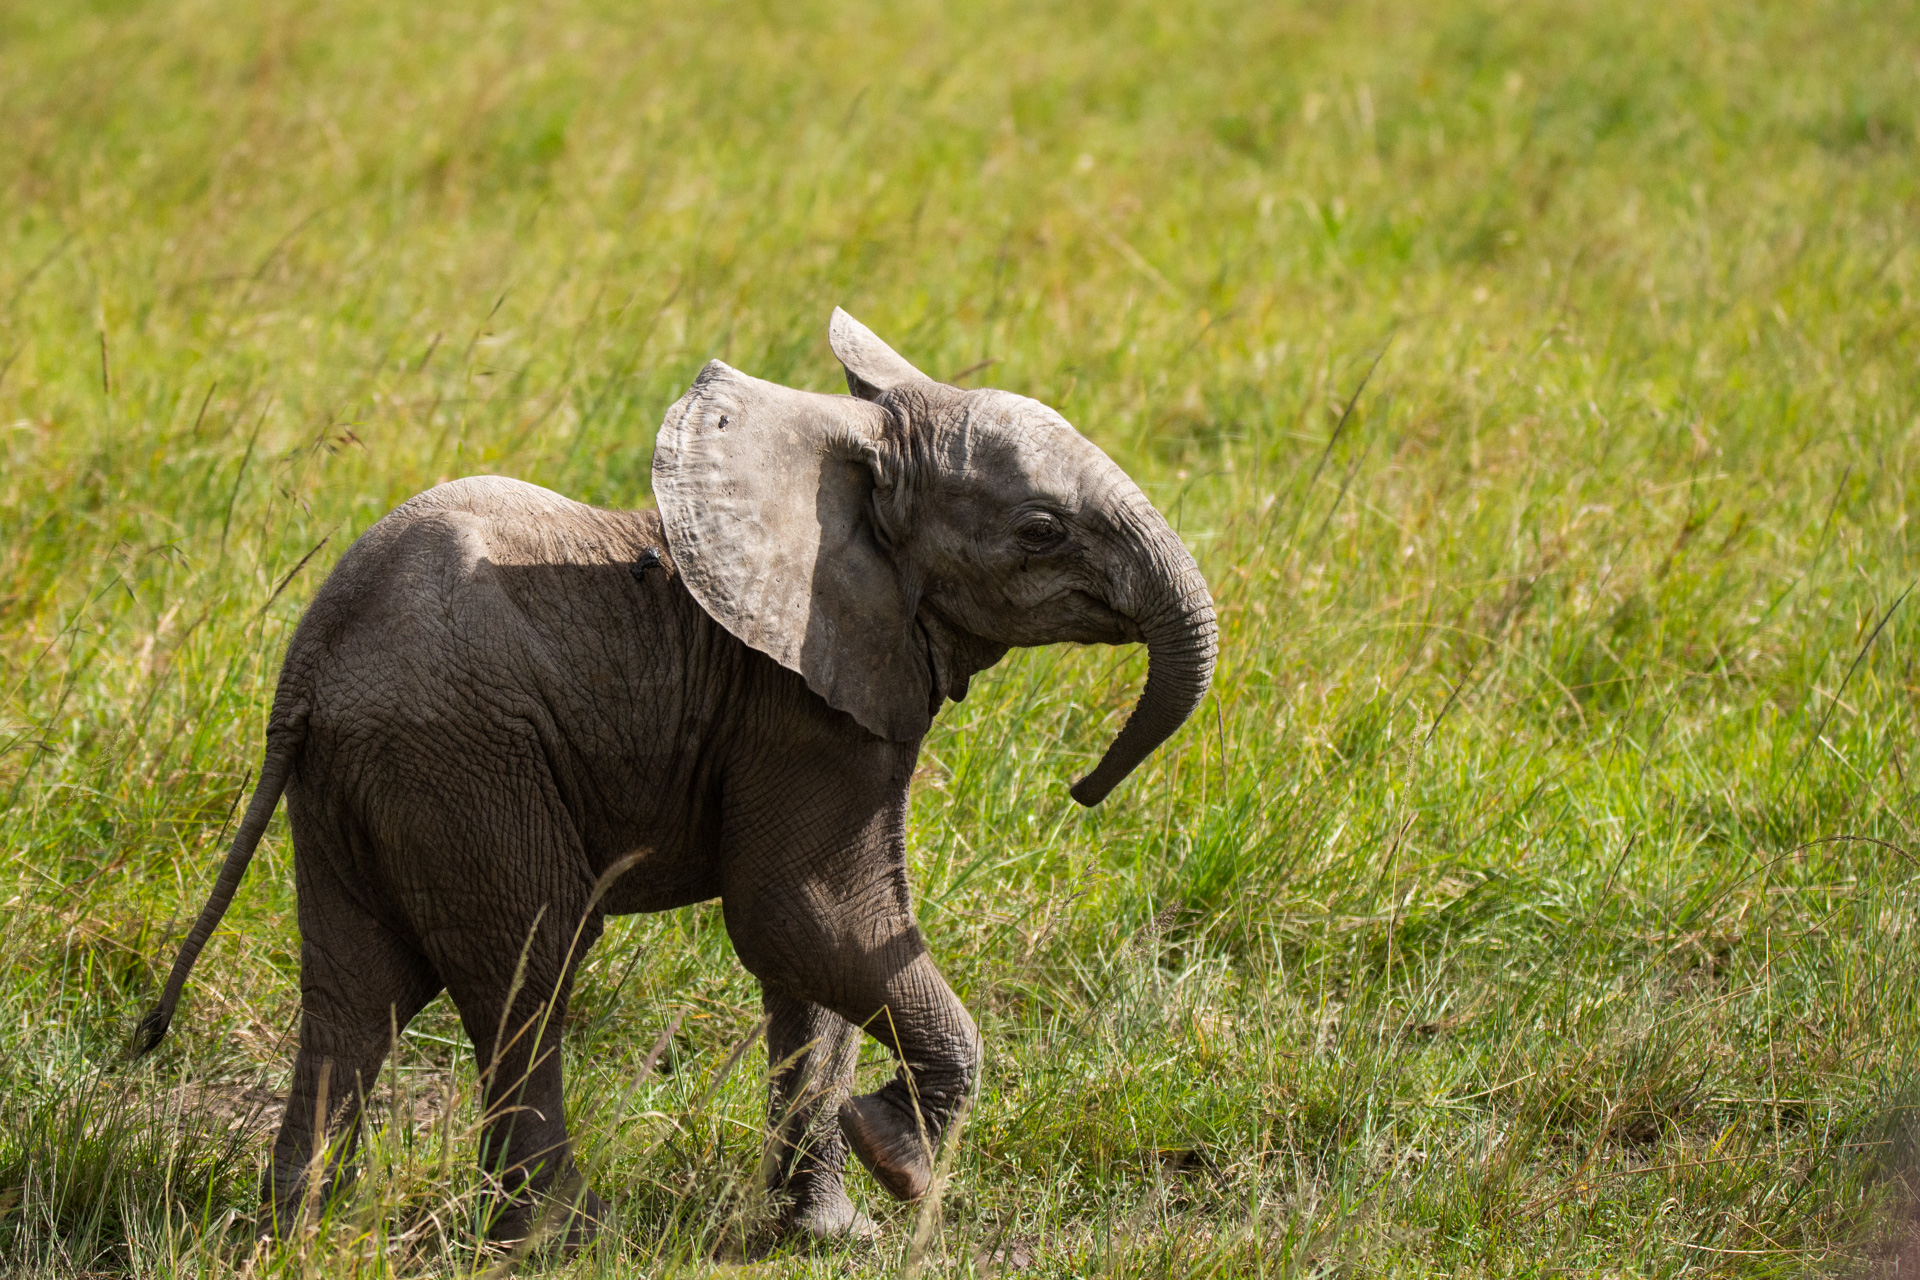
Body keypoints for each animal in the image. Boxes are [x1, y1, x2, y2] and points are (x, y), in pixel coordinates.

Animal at [135, 307, 1213, 1243]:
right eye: (1041, 530)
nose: (1082, 790)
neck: (841, 458)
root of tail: (309, 661)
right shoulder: (800, 707)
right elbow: (806, 915)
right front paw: (896, 1159)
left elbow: (811, 964)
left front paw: (830, 1231)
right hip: (458, 759)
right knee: (530, 970)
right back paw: (563, 1239)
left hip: (360, 779)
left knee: (355, 993)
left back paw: (297, 1234)